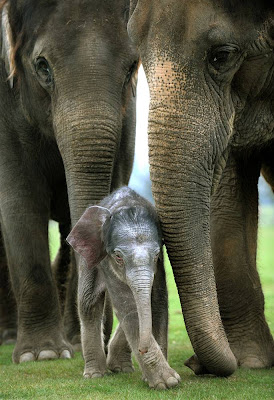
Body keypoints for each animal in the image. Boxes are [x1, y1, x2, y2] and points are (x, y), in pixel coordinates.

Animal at [0, 0, 137, 362]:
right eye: (42, 67)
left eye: (132, 67)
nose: (99, 339)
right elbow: (20, 200)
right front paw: (41, 354)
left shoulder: (127, 118)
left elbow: (114, 181)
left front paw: (77, 344)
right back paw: (8, 336)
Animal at [67, 188, 181, 390]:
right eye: (118, 257)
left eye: (156, 255)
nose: (142, 349)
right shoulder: (106, 260)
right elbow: (128, 306)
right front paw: (167, 381)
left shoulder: (158, 267)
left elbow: (157, 301)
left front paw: (160, 380)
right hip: (89, 256)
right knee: (89, 304)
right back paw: (95, 374)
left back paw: (119, 368)